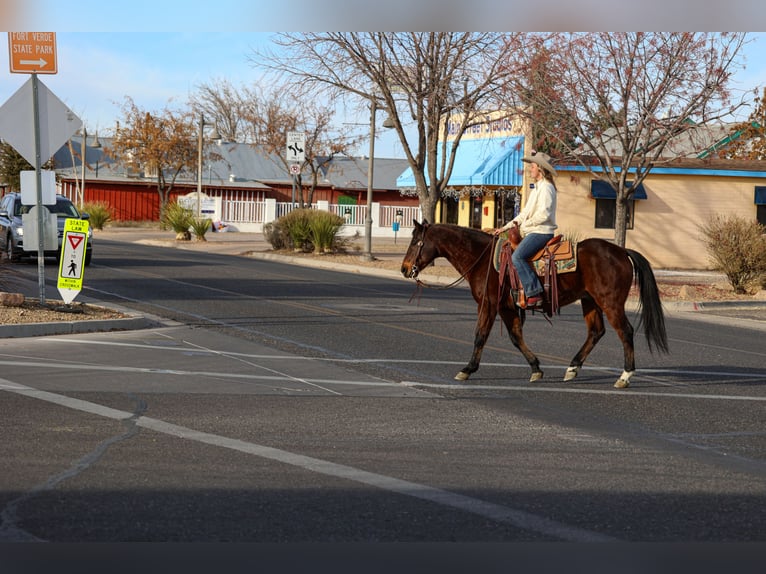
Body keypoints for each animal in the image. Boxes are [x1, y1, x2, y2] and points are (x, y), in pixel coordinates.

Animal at [400, 220, 668, 392]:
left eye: (415, 242)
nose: (404, 268)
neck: (482, 259)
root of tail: (621, 251)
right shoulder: (507, 308)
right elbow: (516, 337)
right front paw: (536, 368)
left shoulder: (488, 304)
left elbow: (480, 336)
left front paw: (467, 369)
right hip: (590, 301)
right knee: (596, 332)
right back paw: (572, 369)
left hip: (610, 302)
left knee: (625, 332)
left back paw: (625, 376)